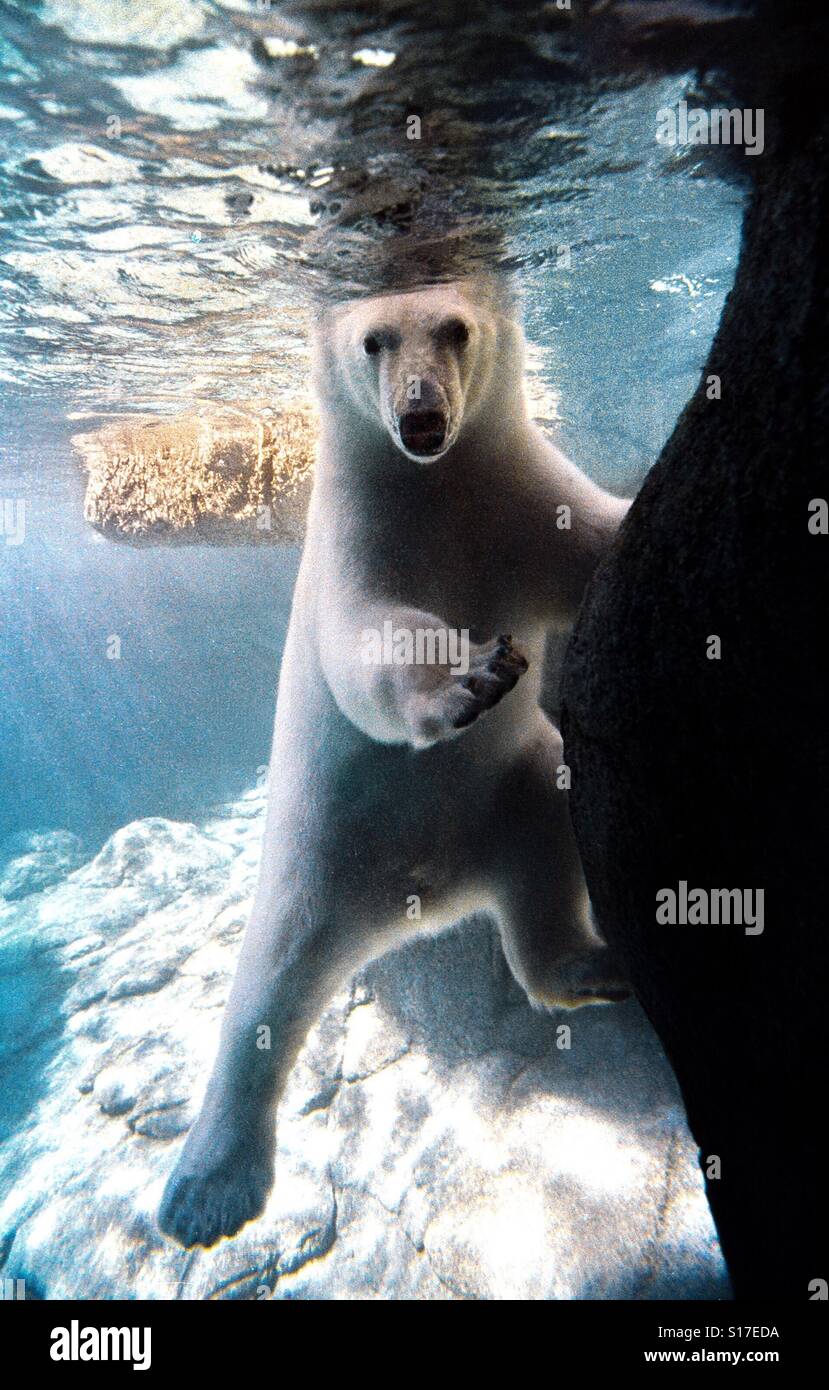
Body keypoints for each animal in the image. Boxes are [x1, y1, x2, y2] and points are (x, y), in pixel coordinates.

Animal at [158, 275, 632, 1248]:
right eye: (373, 340)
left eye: (455, 329)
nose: (421, 417)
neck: (433, 485)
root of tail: (420, 897)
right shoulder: (358, 531)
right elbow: (371, 639)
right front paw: (471, 677)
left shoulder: (516, 496)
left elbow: (588, 545)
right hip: (311, 863)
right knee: (262, 993)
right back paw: (207, 1190)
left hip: (508, 795)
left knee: (544, 833)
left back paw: (590, 968)